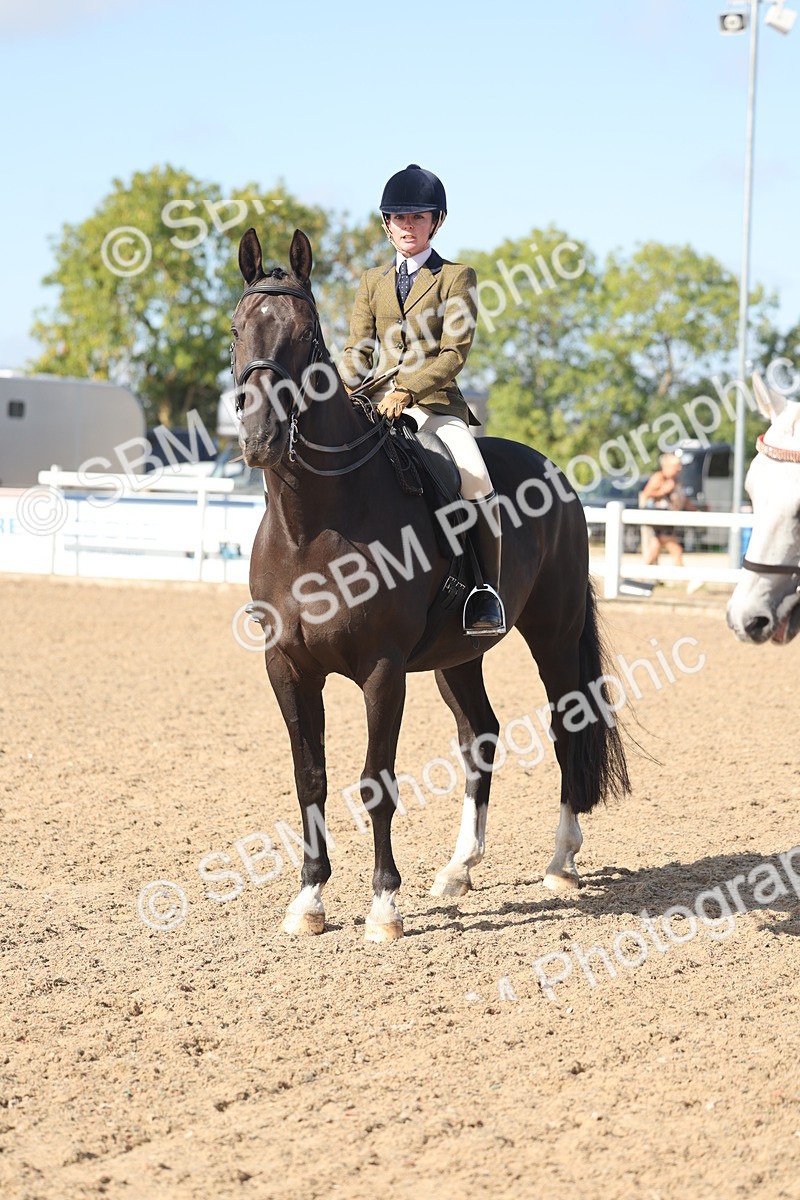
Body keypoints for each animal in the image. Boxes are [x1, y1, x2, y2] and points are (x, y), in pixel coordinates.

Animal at [231, 227, 630, 942]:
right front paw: (309, 900)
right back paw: (458, 869)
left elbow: (375, 782)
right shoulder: (287, 666)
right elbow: (311, 777)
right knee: (480, 735)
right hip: (459, 653)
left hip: (553, 637)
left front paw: (384, 907)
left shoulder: (382, 669)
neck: (313, 524)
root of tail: (555, 472)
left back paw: (561, 864)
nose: (260, 436)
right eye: (235, 329)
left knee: (566, 728)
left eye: (306, 335)